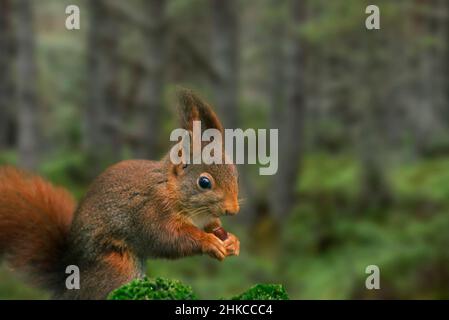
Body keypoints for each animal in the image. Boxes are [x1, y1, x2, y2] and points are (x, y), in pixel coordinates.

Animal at [0, 90, 242, 300]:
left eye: (235, 175)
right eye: (204, 182)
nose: (233, 210)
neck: (173, 190)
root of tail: (69, 276)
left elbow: (212, 226)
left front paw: (232, 241)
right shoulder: (152, 211)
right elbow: (169, 238)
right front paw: (209, 242)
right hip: (118, 265)